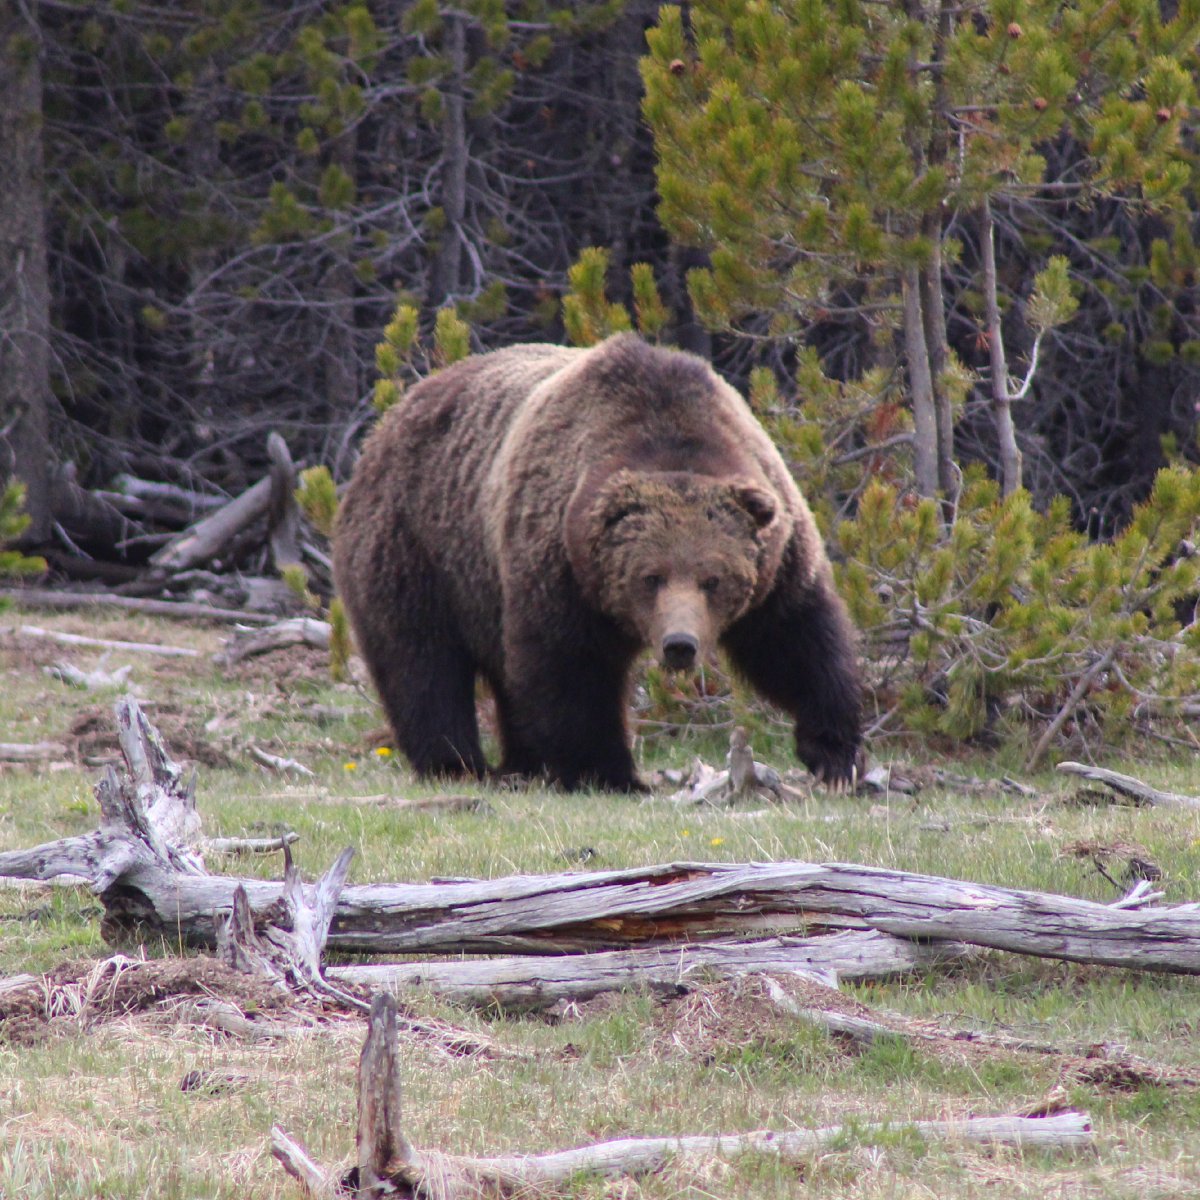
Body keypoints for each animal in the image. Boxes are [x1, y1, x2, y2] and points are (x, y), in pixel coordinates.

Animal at [333, 333, 862, 792]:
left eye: (713, 578)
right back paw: (458, 764)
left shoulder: (777, 558)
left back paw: (520, 764)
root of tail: (388, 420)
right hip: (419, 547)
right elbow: (570, 670)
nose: (680, 645)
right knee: (422, 664)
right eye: (650, 577)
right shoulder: (558, 566)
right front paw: (610, 774)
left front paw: (833, 753)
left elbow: (798, 642)